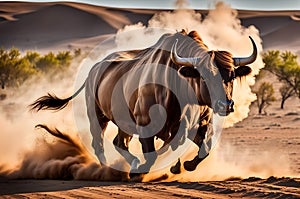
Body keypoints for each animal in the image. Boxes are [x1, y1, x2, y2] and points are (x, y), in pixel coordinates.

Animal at [30, 29, 256, 180]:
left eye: (232, 75)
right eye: (205, 75)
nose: (225, 105)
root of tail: (95, 69)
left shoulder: (199, 124)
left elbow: (203, 147)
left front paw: (182, 166)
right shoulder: (146, 124)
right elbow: (154, 152)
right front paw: (144, 169)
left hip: (123, 122)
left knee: (119, 143)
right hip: (97, 116)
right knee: (100, 144)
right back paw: (109, 170)